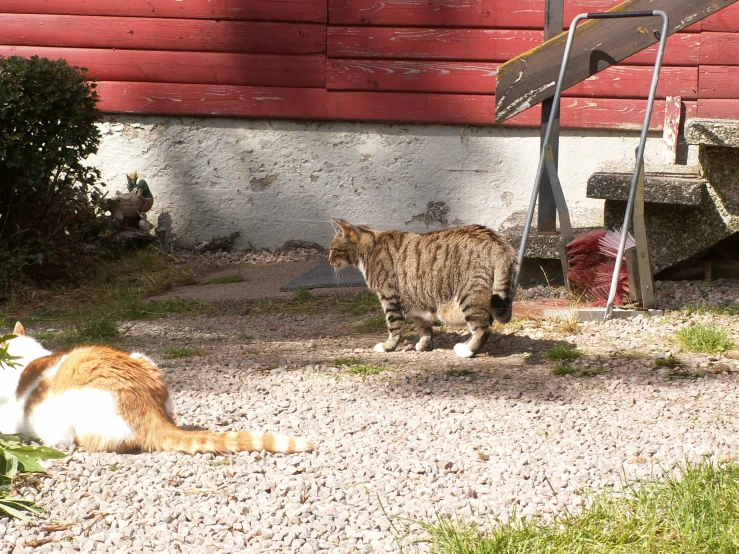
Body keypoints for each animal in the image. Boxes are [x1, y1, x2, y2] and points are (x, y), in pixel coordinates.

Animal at [332, 218, 516, 356]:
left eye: (333, 249)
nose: (329, 260)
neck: (370, 246)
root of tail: (496, 241)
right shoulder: (417, 302)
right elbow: (424, 327)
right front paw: (425, 344)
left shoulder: (389, 297)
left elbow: (394, 327)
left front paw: (387, 347)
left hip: (470, 295)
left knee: (483, 328)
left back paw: (467, 350)